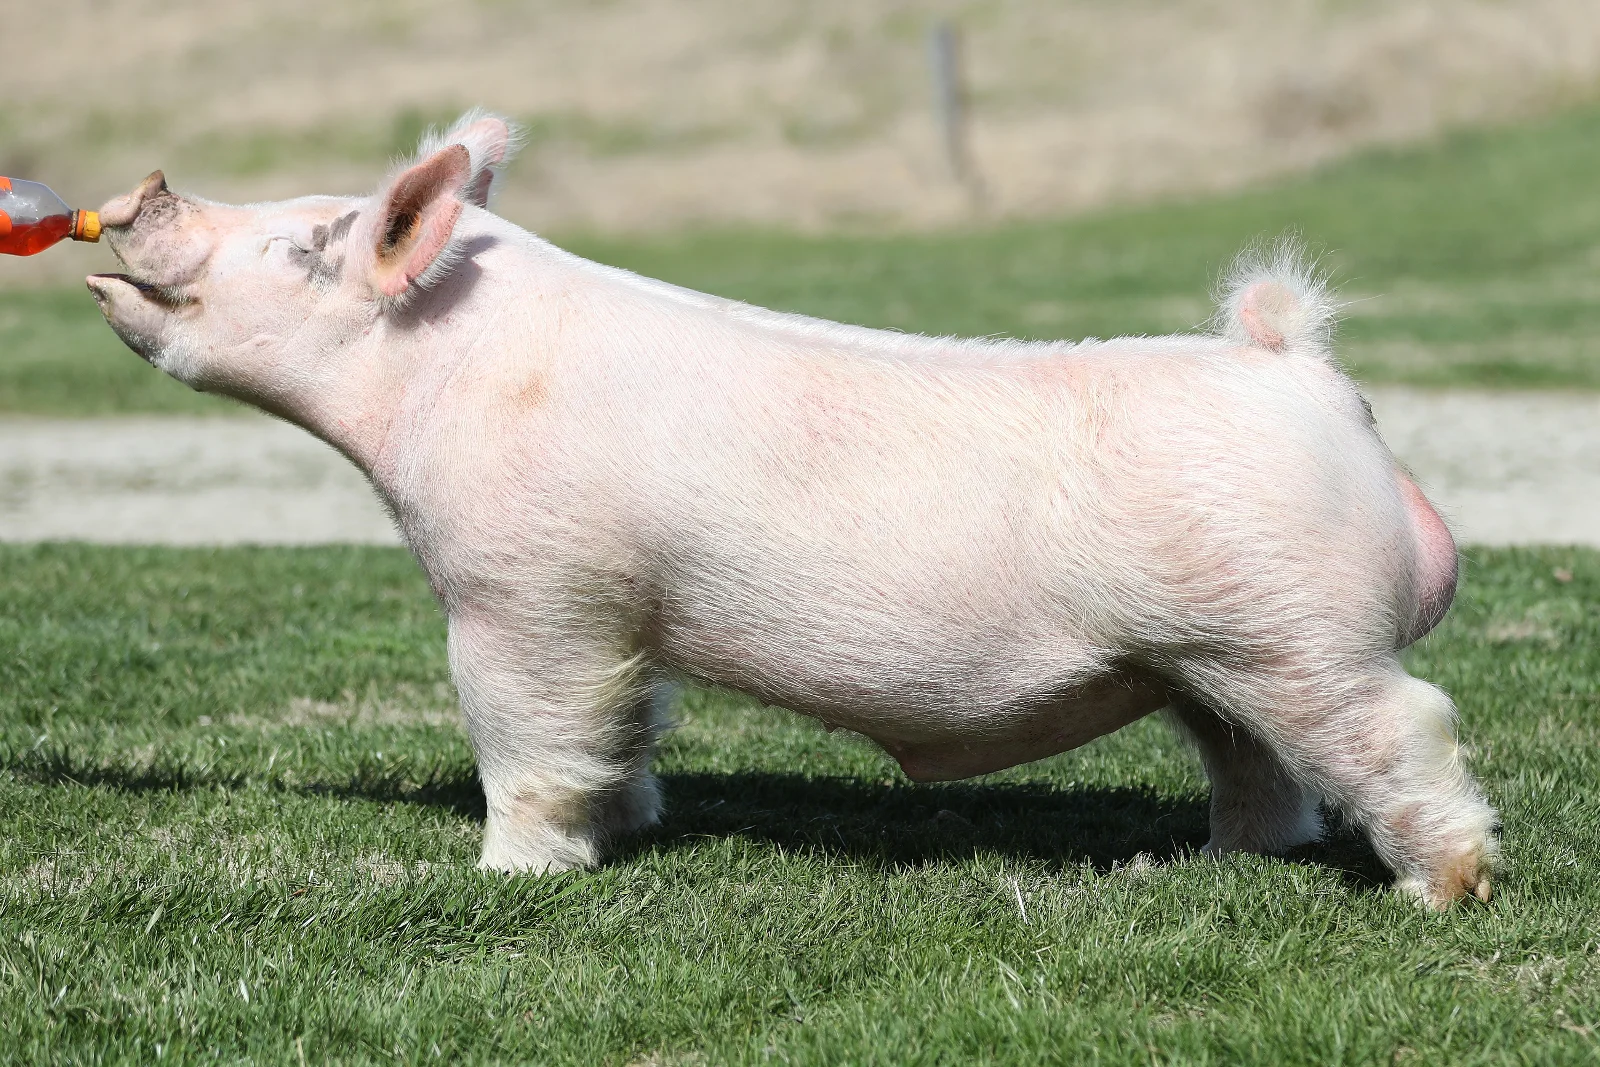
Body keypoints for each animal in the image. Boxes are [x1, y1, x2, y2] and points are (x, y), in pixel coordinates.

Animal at [86, 110, 1497, 908]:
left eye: (299, 247)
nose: (146, 186)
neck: (441, 377)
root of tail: (1294, 365)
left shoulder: (526, 589)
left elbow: (526, 731)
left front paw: (512, 872)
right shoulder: (626, 617)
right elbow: (628, 724)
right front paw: (633, 825)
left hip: (1294, 635)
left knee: (1402, 726)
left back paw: (1442, 893)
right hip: (1210, 656)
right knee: (1257, 764)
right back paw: (1216, 866)